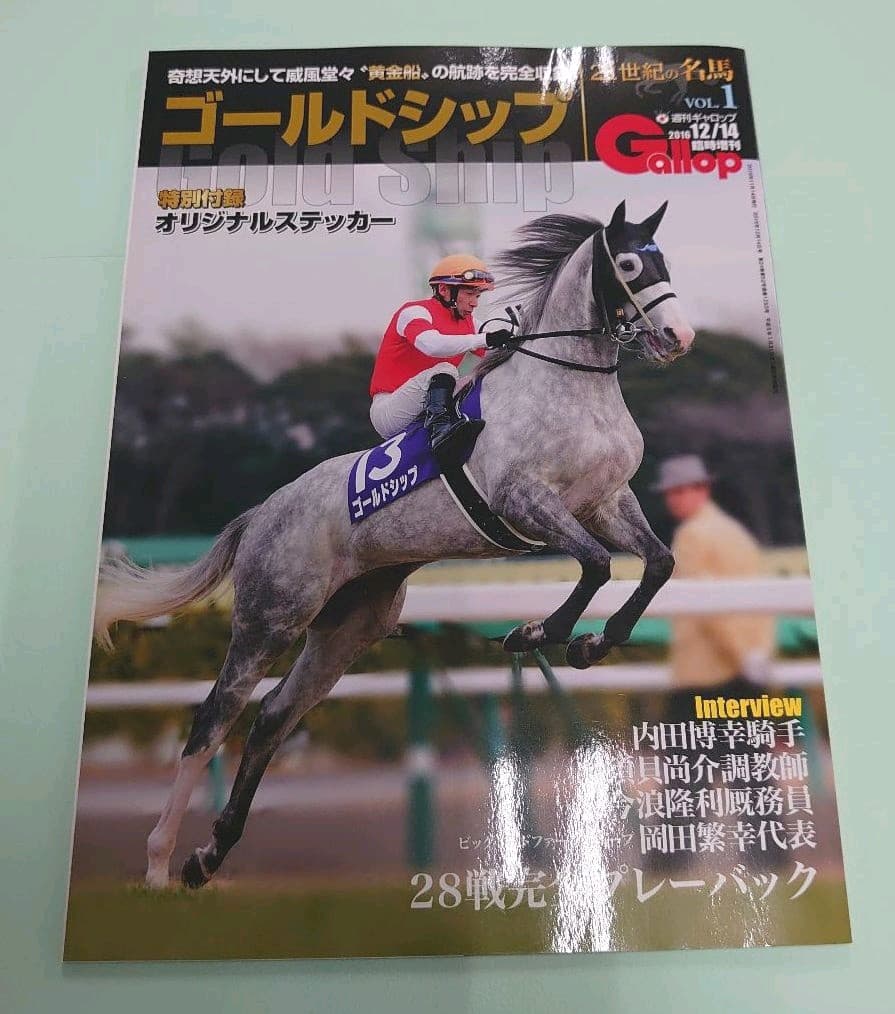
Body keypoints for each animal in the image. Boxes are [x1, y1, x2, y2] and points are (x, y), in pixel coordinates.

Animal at [92, 199, 695, 889]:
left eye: (662, 259)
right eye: (629, 264)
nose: (679, 337)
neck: (568, 387)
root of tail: (261, 513)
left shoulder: (607, 501)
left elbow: (658, 562)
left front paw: (595, 642)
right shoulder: (527, 501)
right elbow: (595, 564)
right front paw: (536, 633)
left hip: (348, 627)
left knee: (272, 716)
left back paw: (209, 854)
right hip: (271, 616)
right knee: (214, 717)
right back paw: (159, 863)